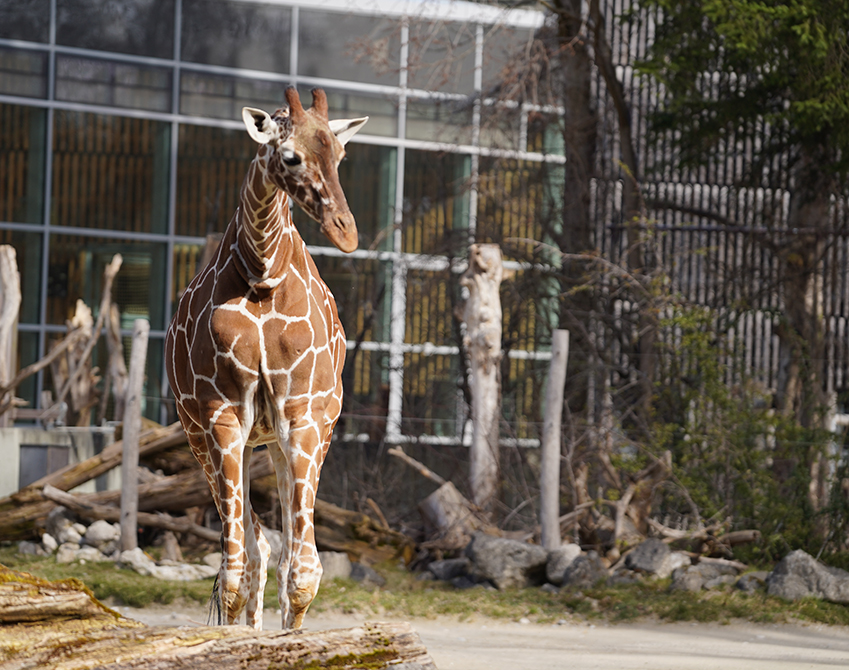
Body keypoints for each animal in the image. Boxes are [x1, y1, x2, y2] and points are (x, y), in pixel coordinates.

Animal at [165, 86, 367, 630]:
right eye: (290, 156)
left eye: (341, 155)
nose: (346, 231)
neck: (262, 274)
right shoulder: (222, 415)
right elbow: (236, 570)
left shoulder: (304, 415)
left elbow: (304, 573)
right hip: (202, 437)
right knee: (253, 550)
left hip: (288, 436)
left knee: (283, 550)